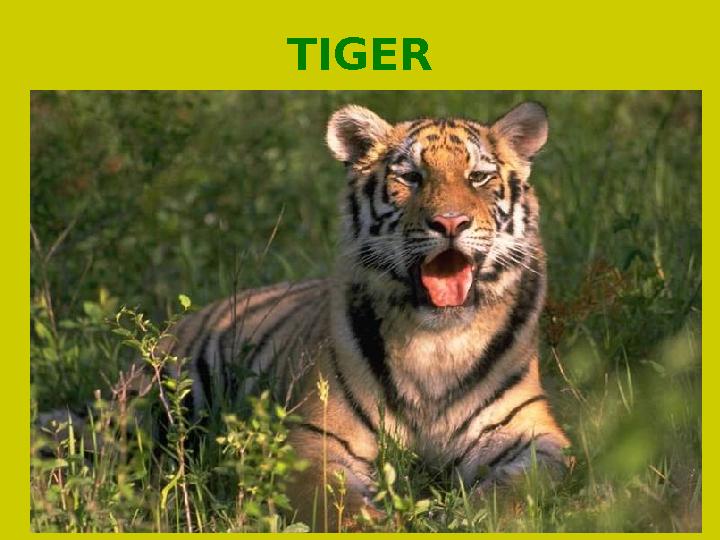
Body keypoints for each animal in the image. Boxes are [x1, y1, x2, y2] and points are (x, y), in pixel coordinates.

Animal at [160, 101, 571, 529]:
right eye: (411, 177)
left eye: (478, 177)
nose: (450, 222)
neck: (437, 344)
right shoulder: (315, 442)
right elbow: (341, 509)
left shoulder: (533, 438)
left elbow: (512, 494)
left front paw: (467, 517)